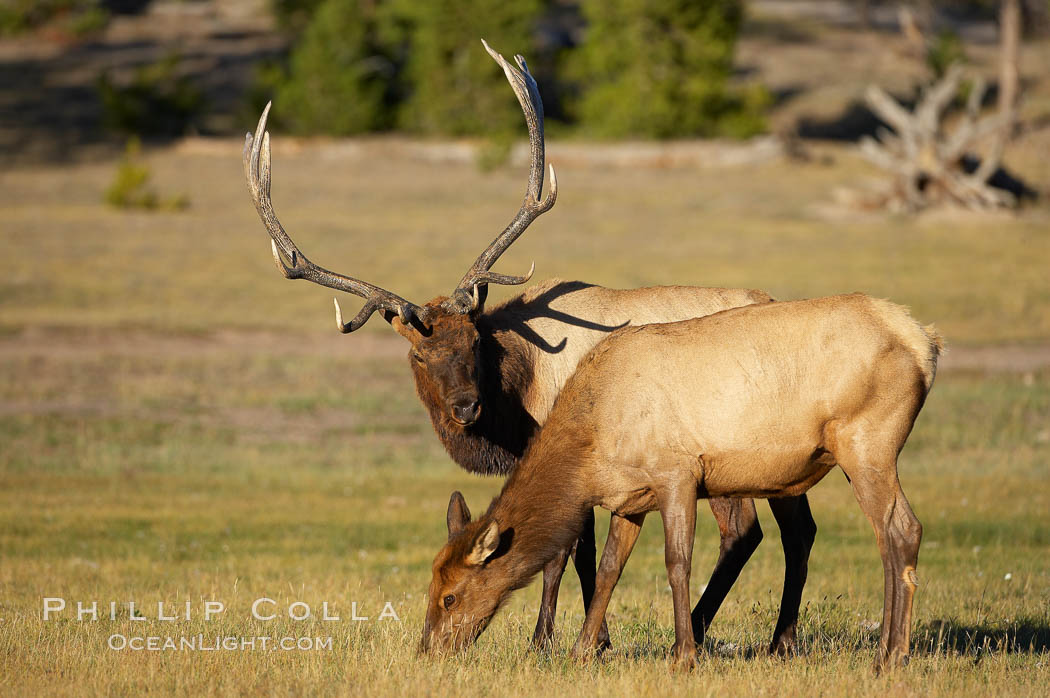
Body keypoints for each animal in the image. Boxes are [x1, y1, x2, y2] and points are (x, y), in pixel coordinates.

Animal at [247, 42, 818, 654]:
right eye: (419, 355)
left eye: (474, 340)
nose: (465, 406)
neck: (515, 398)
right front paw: (589, 637)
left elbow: (568, 550)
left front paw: (554, 640)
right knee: (796, 530)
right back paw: (777, 639)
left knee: (746, 532)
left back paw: (710, 632)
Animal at [424, 293, 944, 671]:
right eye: (431, 585)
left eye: (450, 596)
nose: (427, 650)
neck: (591, 445)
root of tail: (926, 343)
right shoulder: (629, 498)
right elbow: (609, 569)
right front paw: (582, 650)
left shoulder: (677, 474)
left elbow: (677, 563)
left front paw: (683, 655)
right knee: (868, 535)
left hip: (868, 444)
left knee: (900, 531)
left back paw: (890, 656)